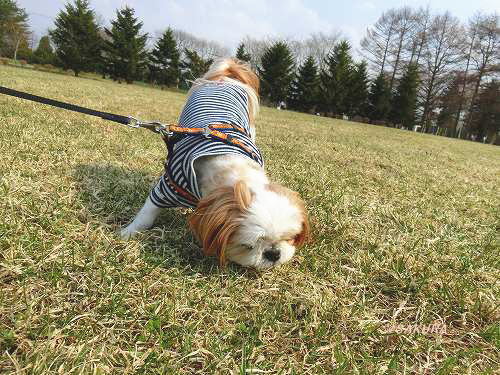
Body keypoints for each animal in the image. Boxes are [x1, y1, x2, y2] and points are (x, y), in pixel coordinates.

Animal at [121, 58, 308, 270]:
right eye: (248, 246)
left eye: (289, 238)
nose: (274, 254)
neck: (233, 167)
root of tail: (225, 76)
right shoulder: (170, 186)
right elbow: (148, 212)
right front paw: (129, 232)